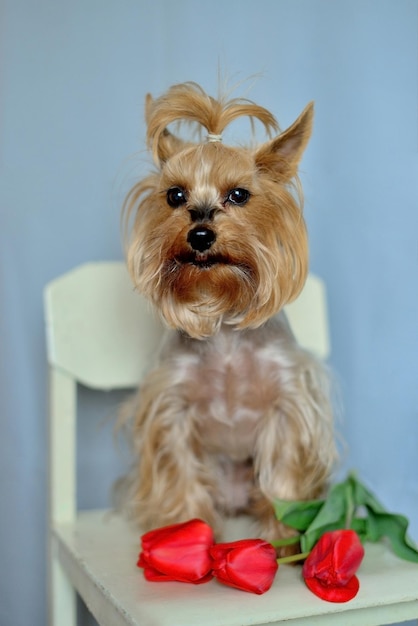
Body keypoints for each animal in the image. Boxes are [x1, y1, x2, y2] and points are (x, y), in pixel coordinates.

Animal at [121, 81, 336, 552]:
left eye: (239, 195)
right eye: (175, 195)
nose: (200, 234)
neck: (222, 322)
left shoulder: (288, 401)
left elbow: (284, 471)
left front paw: (284, 539)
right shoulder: (172, 406)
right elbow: (179, 468)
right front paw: (185, 534)